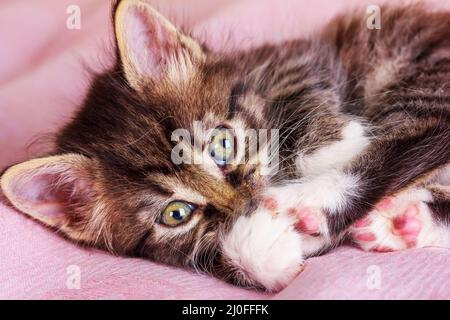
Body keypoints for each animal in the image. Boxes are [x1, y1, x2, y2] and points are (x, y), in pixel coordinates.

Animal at [0, 0, 450, 292]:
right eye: (176, 213)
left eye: (221, 145)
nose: (246, 200)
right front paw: (263, 251)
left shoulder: (300, 55)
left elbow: (308, 93)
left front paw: (335, 146)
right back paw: (402, 223)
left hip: (422, 72)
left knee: (419, 132)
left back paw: (307, 201)